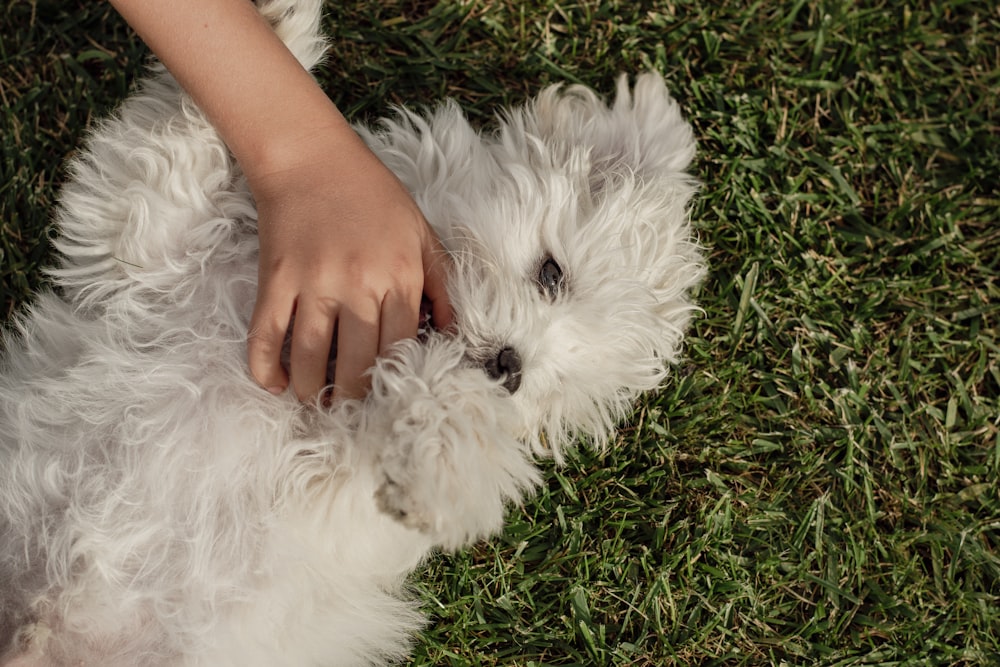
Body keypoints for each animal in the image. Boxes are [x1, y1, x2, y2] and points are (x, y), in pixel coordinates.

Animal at [0, 1, 704, 667]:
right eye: (552, 273)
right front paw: (278, 34)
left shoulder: (333, 490)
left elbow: (433, 413)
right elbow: (177, 154)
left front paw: (439, 470)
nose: (510, 367)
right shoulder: (146, 242)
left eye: (552, 386)